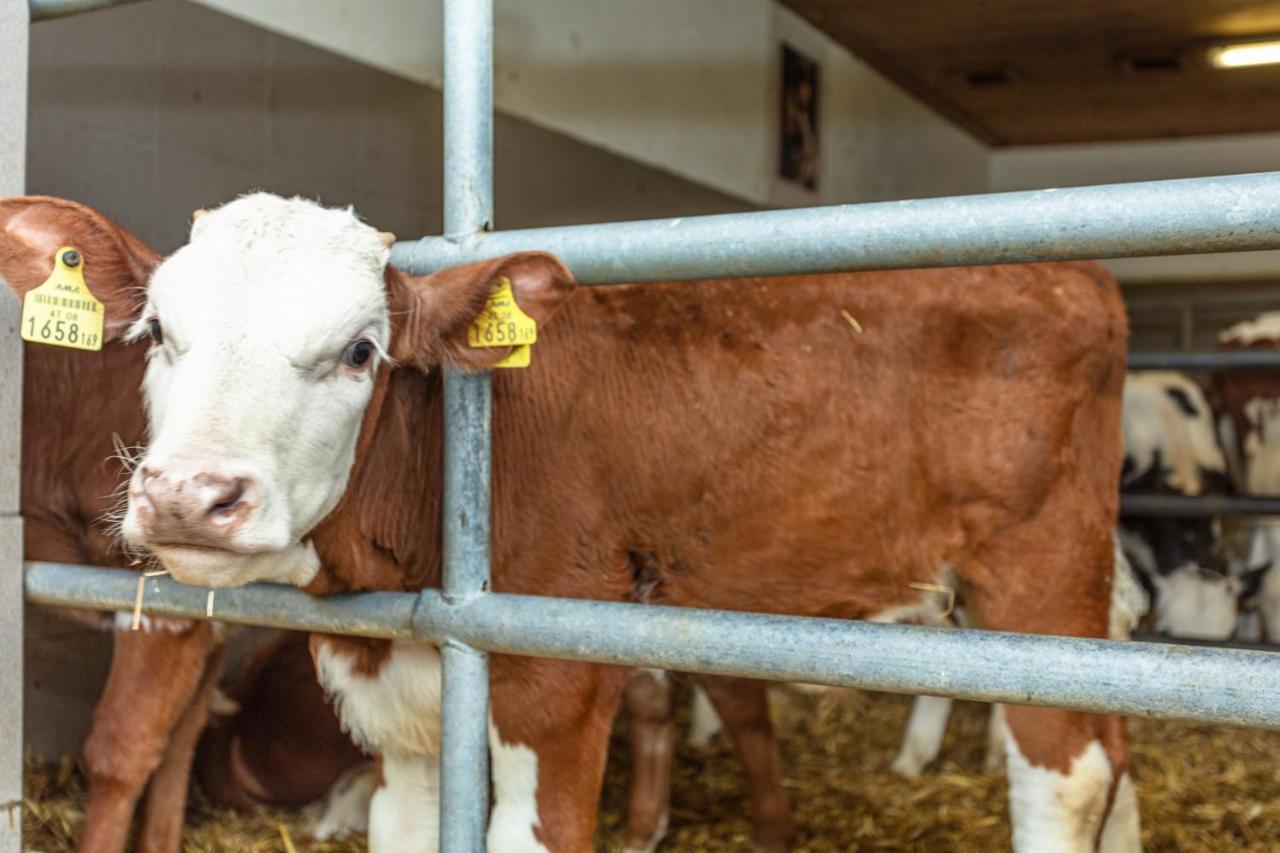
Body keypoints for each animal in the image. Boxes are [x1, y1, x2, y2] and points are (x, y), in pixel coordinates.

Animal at [117, 194, 1141, 850]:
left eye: (361, 350)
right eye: (158, 333)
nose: (190, 494)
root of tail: (1074, 272)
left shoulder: (553, 683)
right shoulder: (404, 713)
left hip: (1042, 569)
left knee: (1069, 774)